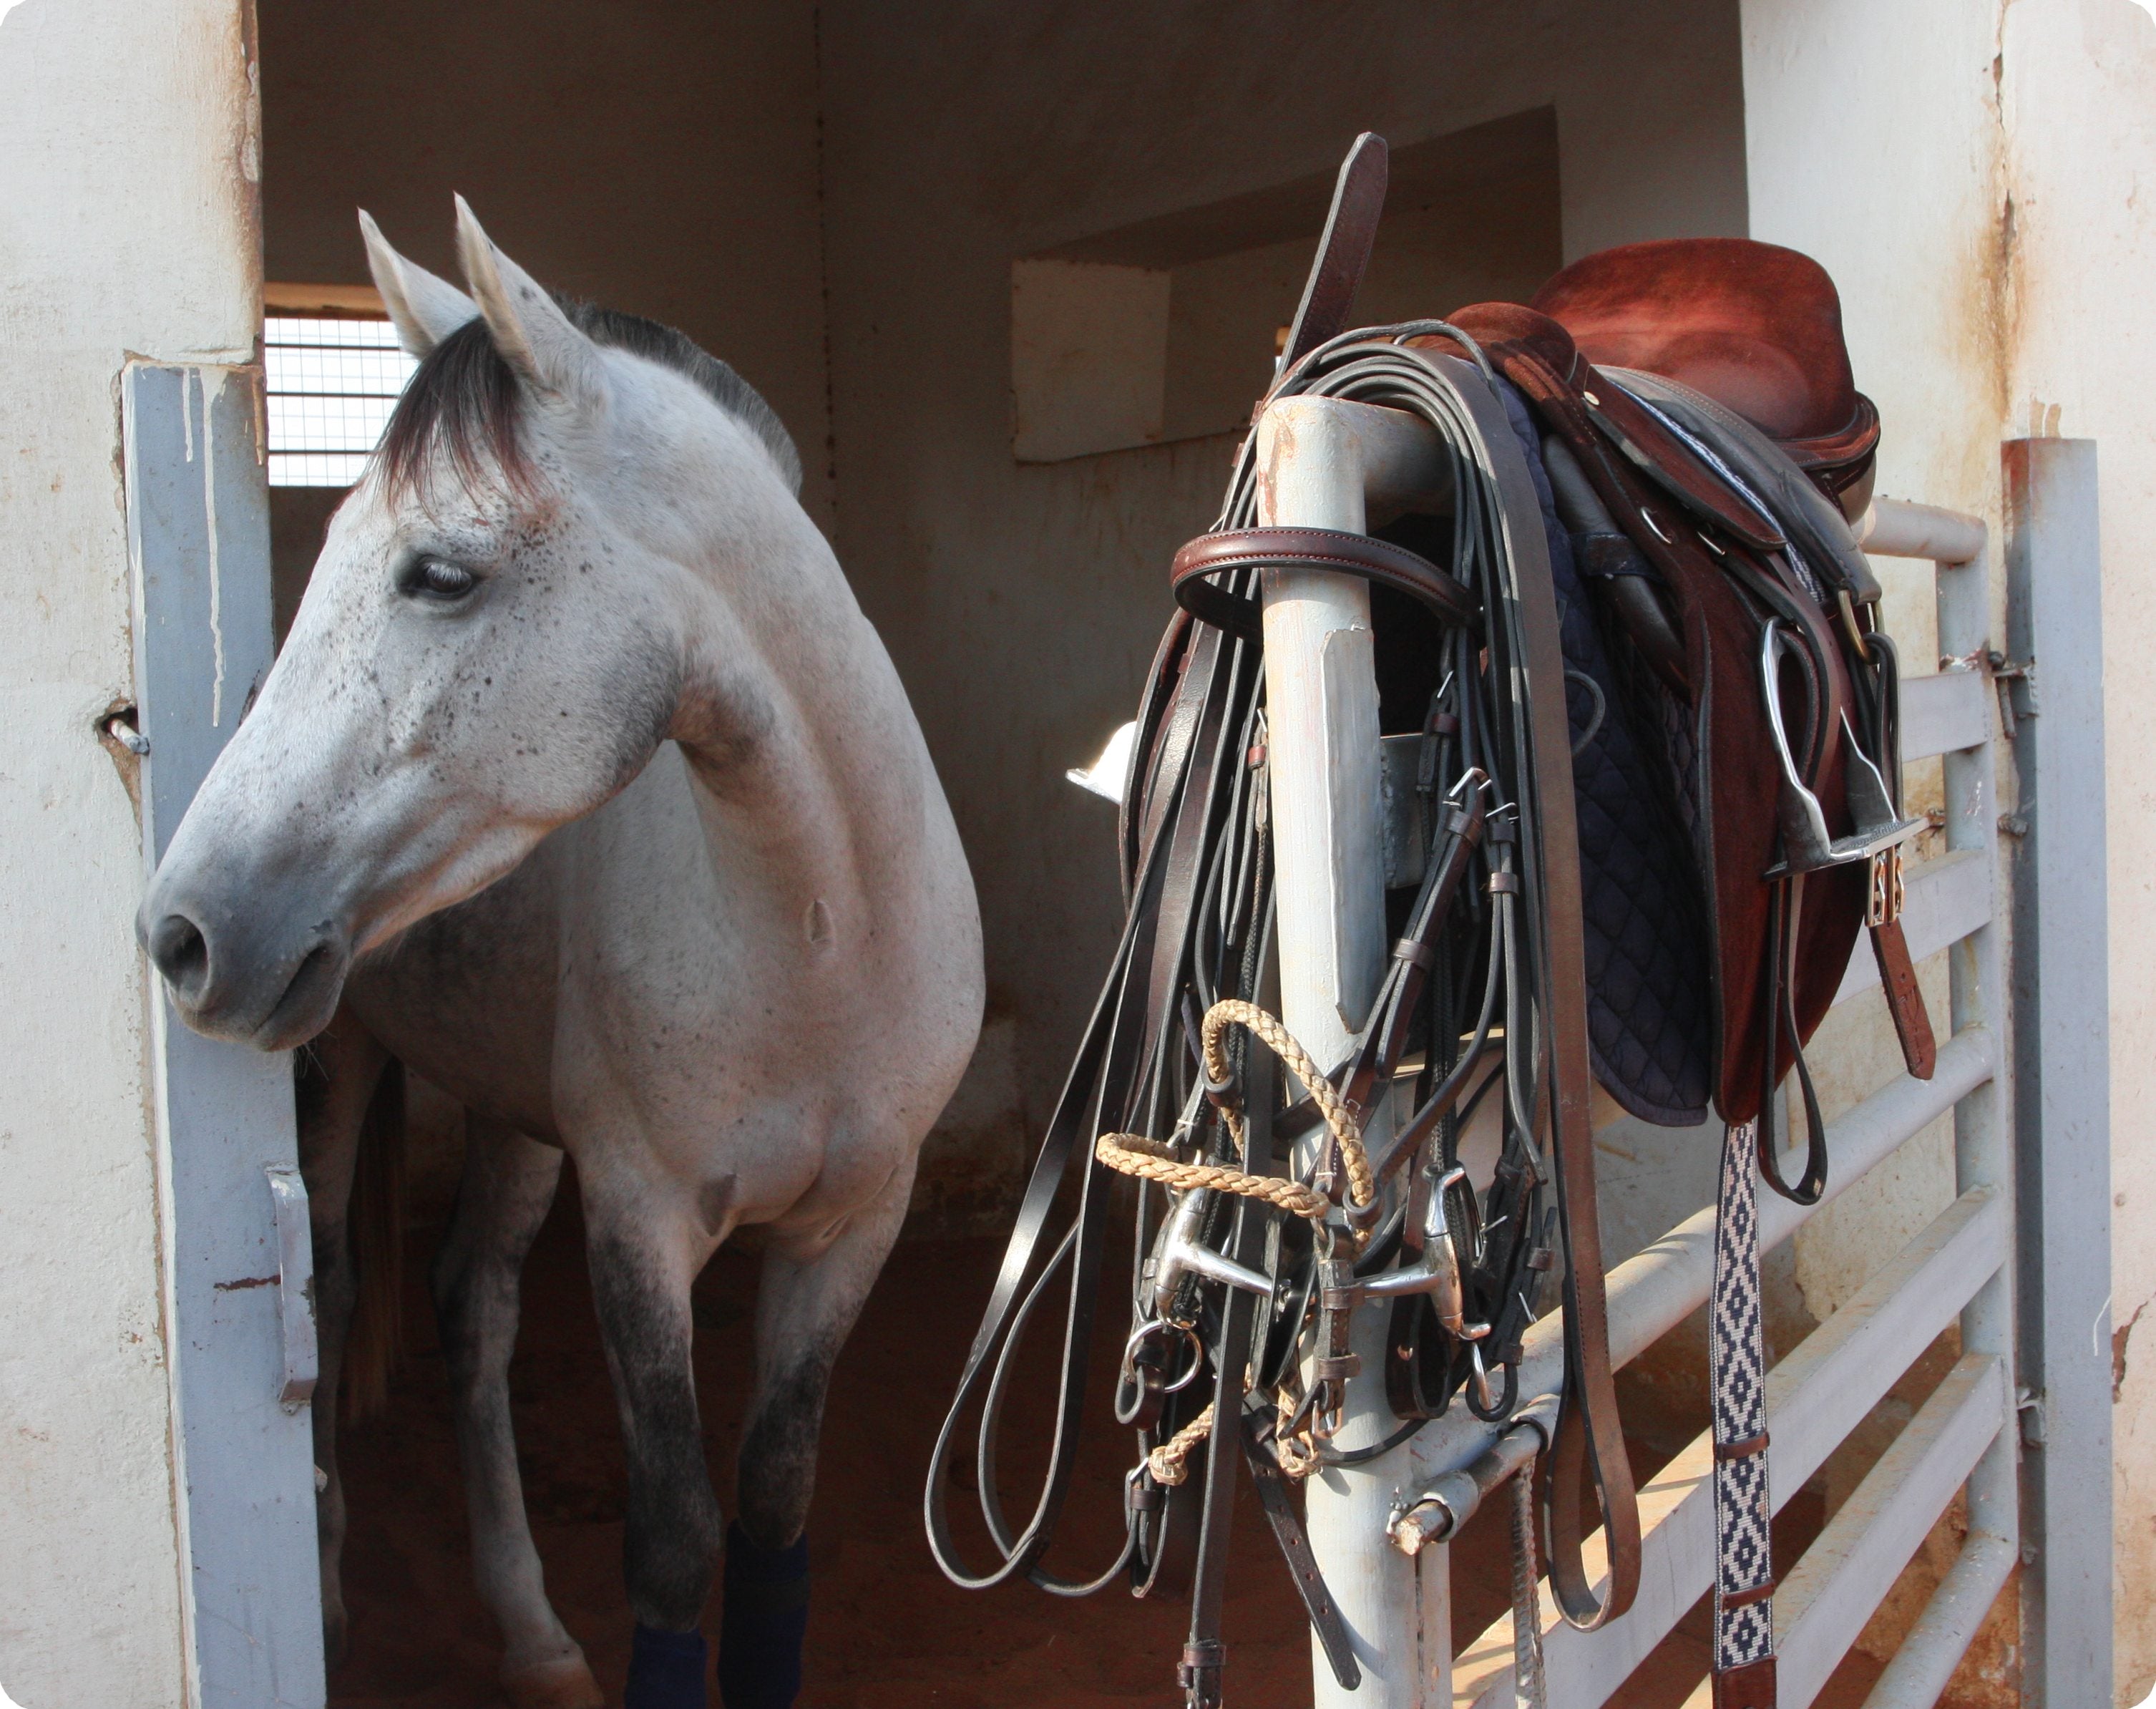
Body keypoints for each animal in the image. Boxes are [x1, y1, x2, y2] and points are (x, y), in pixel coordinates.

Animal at [137, 198, 984, 1709]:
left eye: (438, 572)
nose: (180, 933)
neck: (818, 940)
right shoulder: (640, 1218)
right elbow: (672, 1539)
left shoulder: (852, 1223)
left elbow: (773, 1506)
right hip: (348, 1062)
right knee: (343, 1286)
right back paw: (341, 1585)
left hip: (519, 1117)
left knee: (469, 1303)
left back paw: (529, 1629)